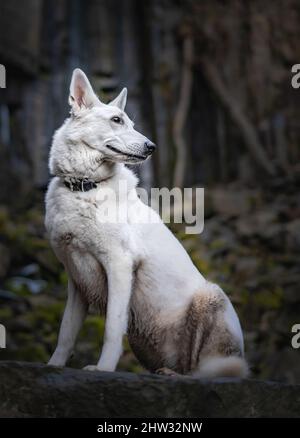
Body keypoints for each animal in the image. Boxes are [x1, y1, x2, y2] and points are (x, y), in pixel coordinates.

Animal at [45, 68, 247, 376]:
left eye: (130, 122)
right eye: (116, 120)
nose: (152, 146)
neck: (85, 187)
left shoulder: (119, 264)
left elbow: (112, 328)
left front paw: (103, 369)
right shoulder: (76, 278)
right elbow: (66, 331)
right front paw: (54, 366)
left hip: (211, 296)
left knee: (205, 369)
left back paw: (177, 375)